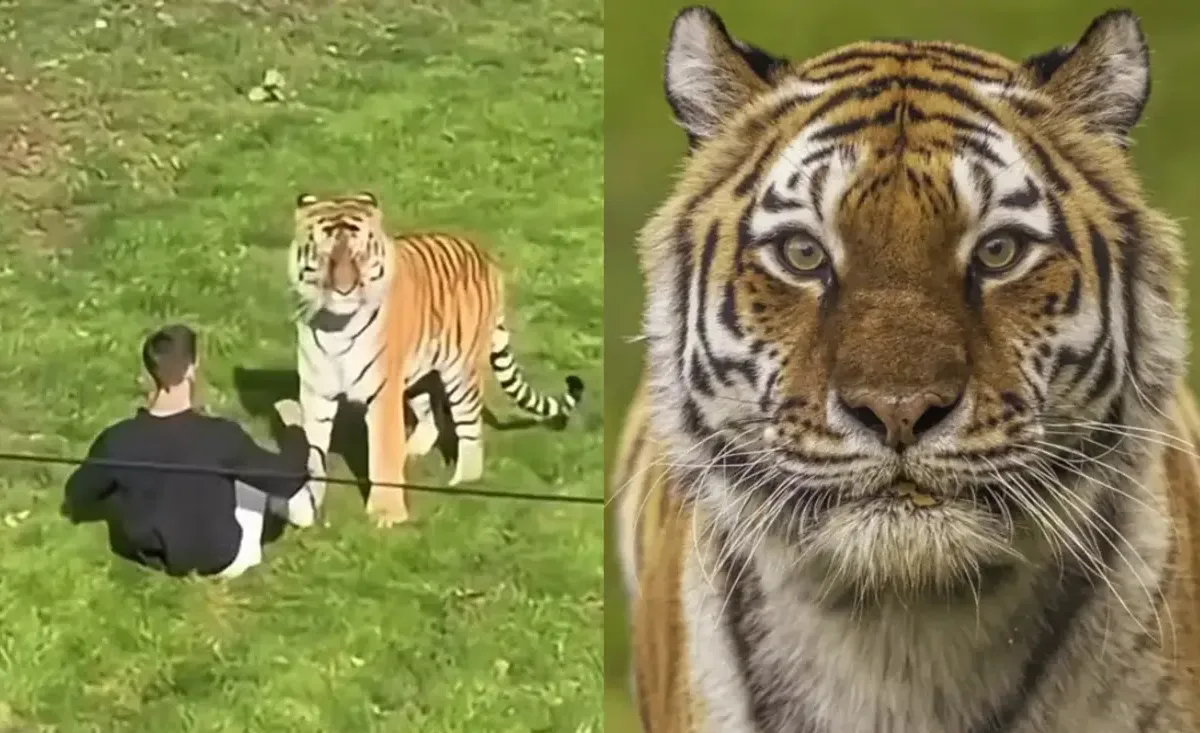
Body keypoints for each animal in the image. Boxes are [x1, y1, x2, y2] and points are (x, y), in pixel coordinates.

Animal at [287, 192, 584, 528]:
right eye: (326, 256)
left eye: (360, 255)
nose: (344, 289)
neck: (335, 326)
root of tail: (486, 258)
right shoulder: (316, 393)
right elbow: (312, 452)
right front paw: (306, 505)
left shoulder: (382, 392)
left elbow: (382, 452)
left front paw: (387, 514)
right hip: (418, 371)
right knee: (429, 414)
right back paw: (412, 449)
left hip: (461, 374)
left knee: (469, 428)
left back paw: (463, 481)